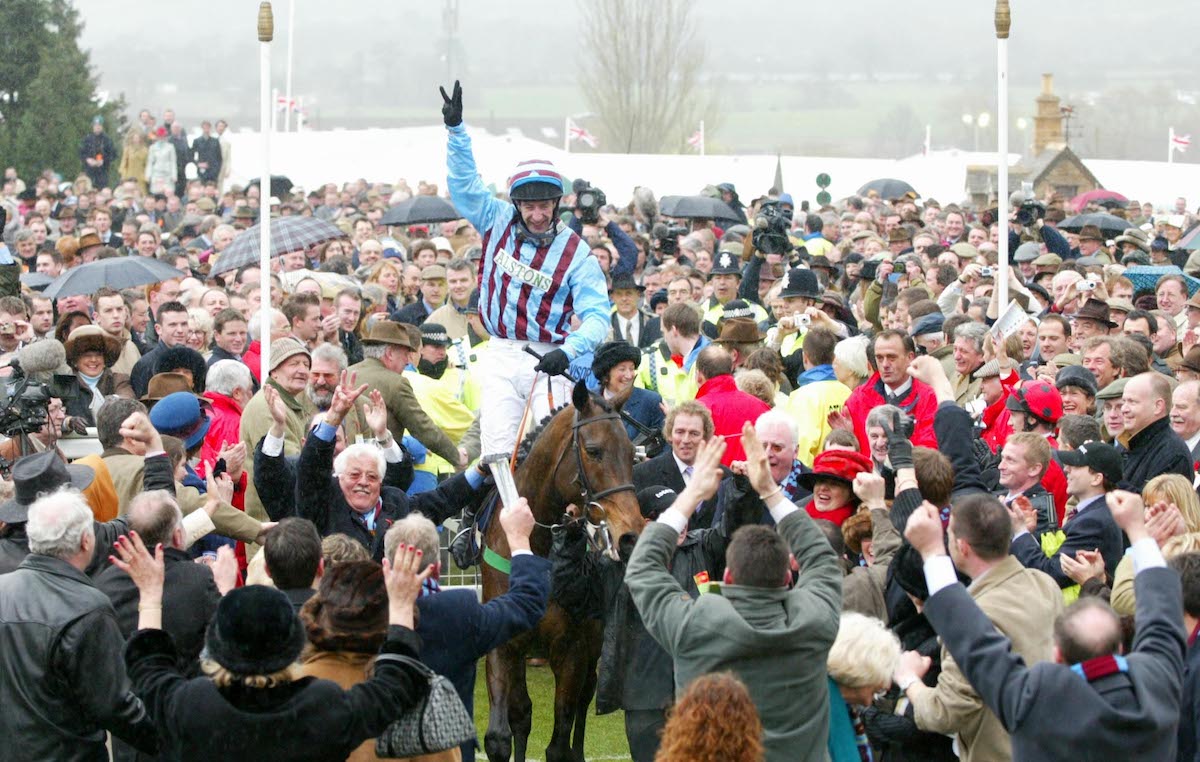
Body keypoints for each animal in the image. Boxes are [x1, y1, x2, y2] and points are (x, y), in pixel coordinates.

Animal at [480, 381, 643, 762]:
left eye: (632, 454)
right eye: (594, 451)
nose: (629, 534)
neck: (534, 546)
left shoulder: (572, 648)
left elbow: (559, 742)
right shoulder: (505, 641)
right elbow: (502, 733)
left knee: (584, 700)